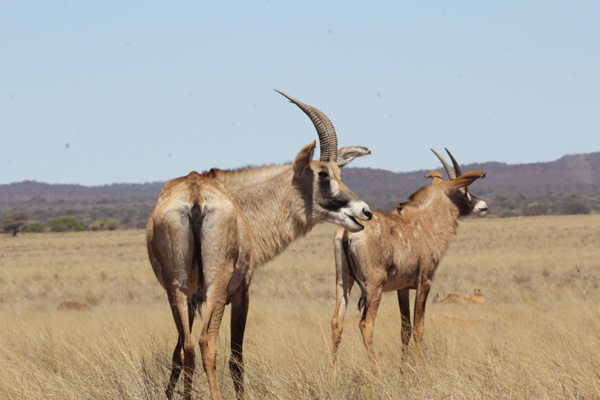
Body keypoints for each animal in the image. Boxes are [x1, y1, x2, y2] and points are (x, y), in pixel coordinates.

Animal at [148, 90, 372, 400]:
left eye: (340, 173)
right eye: (323, 174)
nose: (364, 211)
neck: (239, 200)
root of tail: (195, 196)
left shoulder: (192, 298)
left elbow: (177, 355)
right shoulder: (242, 292)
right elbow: (236, 358)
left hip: (177, 290)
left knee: (188, 348)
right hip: (216, 289)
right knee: (207, 343)